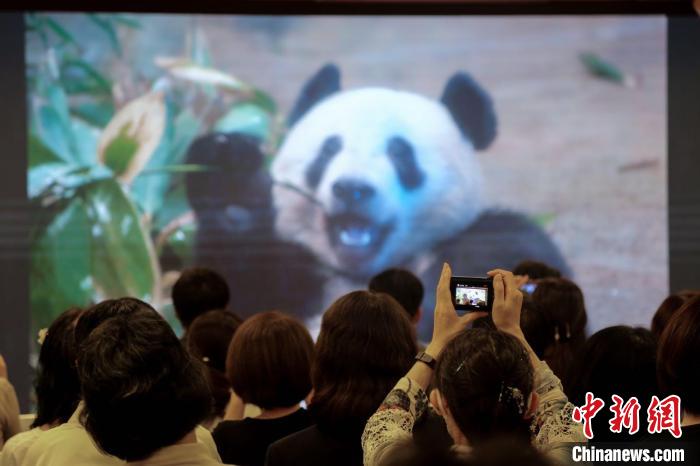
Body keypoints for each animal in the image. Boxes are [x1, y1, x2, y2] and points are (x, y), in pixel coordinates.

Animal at [185, 63, 568, 336]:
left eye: (400, 153)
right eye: (329, 149)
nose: (352, 188)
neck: (358, 274)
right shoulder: (294, 274)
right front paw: (230, 175)